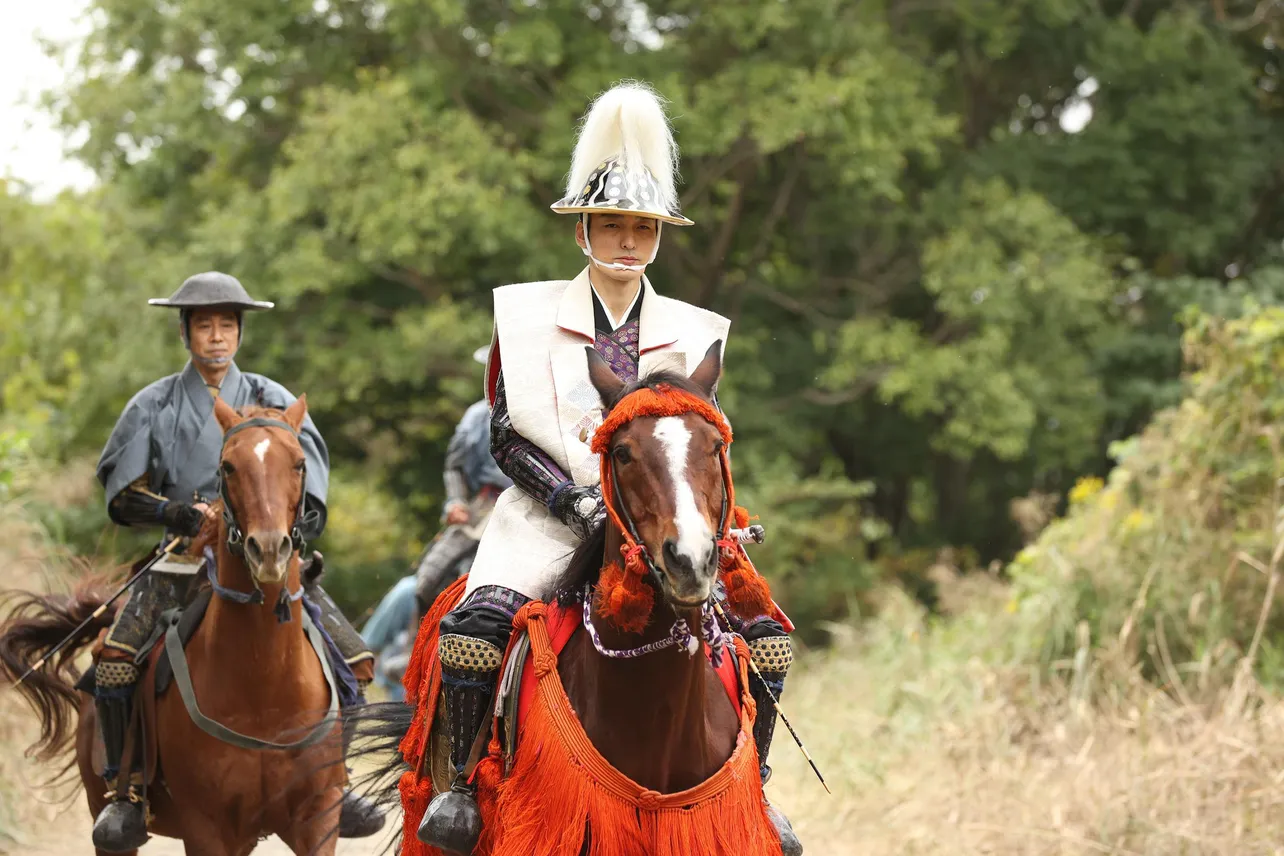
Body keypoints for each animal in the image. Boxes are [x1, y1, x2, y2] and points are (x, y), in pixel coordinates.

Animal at [0, 400, 346, 856]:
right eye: (228, 467)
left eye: (300, 463)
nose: (269, 550)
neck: (264, 694)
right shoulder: (206, 827)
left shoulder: (317, 815)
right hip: (105, 811)